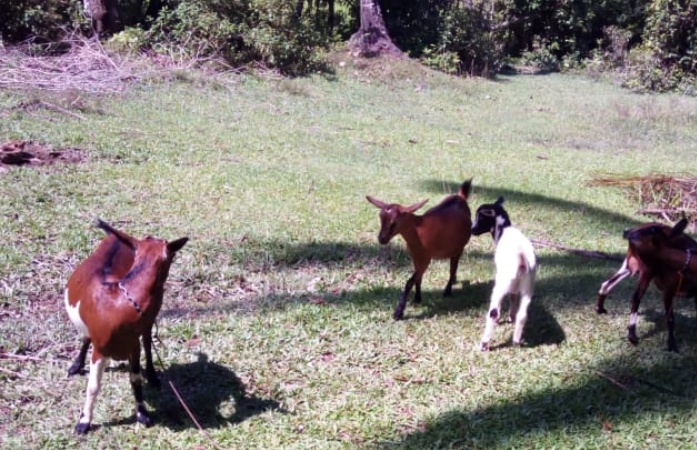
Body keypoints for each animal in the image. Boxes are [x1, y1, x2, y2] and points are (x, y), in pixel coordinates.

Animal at [62, 220, 186, 434]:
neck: (120, 303)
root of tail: (115, 239)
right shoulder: (100, 349)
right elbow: (93, 385)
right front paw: (84, 421)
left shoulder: (133, 347)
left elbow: (135, 378)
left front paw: (142, 413)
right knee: (86, 337)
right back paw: (77, 365)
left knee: (148, 341)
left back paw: (152, 376)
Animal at [364, 179, 474, 320]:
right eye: (380, 218)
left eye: (394, 222)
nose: (382, 239)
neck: (418, 232)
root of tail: (460, 197)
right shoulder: (416, 257)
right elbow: (418, 279)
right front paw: (417, 299)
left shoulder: (425, 259)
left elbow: (409, 282)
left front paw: (398, 312)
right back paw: (453, 281)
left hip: (460, 246)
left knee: (453, 267)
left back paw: (448, 290)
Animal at [470, 198, 536, 352]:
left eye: (481, 217)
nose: (471, 229)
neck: (504, 231)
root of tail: (521, 258)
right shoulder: (515, 286)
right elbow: (513, 297)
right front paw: (511, 317)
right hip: (528, 286)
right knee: (523, 314)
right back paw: (516, 341)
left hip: (502, 284)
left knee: (493, 312)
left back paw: (484, 344)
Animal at [620, 218, 696, 352]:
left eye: (653, 230)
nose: (627, 231)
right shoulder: (669, 289)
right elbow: (670, 318)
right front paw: (672, 345)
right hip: (646, 273)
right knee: (636, 298)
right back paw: (632, 335)